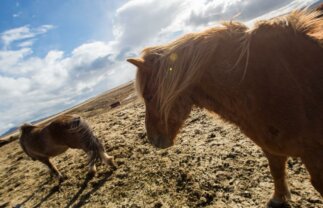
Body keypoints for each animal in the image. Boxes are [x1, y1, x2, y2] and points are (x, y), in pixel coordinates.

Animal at [128, 10, 323, 208]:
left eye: (149, 97)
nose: (152, 140)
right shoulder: (270, 146)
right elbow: (276, 170)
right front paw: (278, 198)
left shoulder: (314, 157)